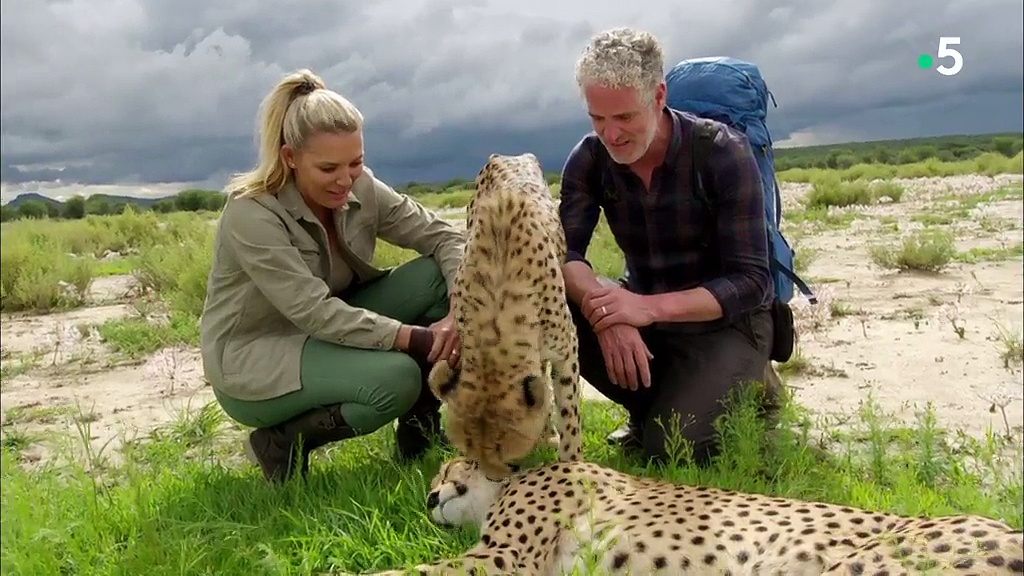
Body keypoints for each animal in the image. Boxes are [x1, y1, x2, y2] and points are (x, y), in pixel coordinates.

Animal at [425, 152, 585, 479]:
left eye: (511, 462)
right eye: (471, 456)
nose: (495, 482)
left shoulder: (567, 349)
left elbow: (569, 413)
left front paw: (571, 464)